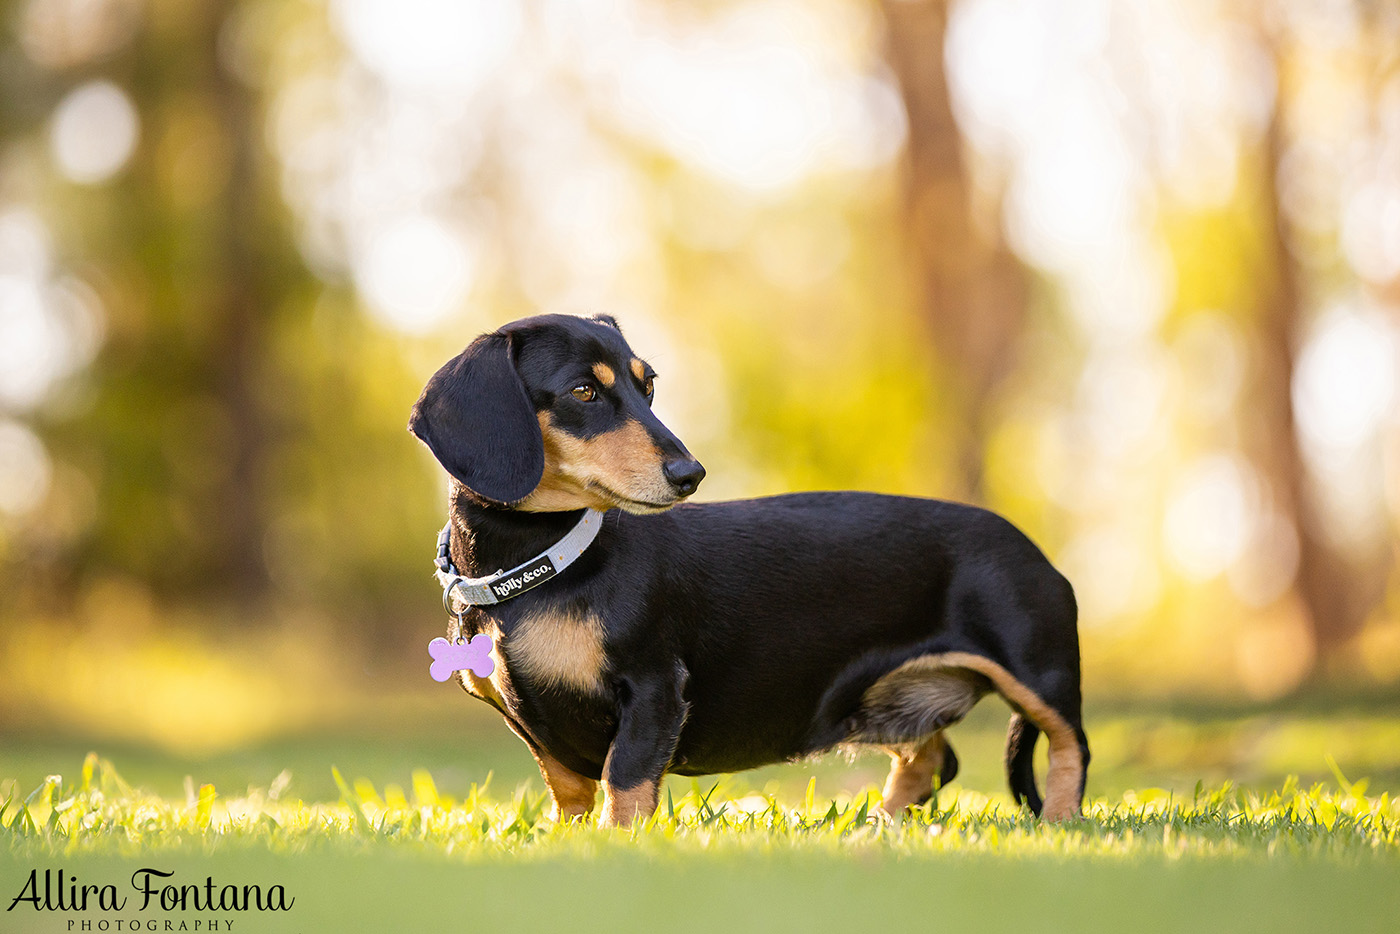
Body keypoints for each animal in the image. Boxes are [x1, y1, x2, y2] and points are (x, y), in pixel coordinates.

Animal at [408, 313, 1086, 823]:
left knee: (1070, 748)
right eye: (583, 391)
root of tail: (1029, 546)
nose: (690, 474)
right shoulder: (537, 729)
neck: (543, 565)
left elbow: (623, 787)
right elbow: (570, 791)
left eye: (647, 386)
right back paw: (878, 827)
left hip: (1039, 671)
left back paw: (1059, 825)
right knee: (930, 763)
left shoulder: (654, 689)